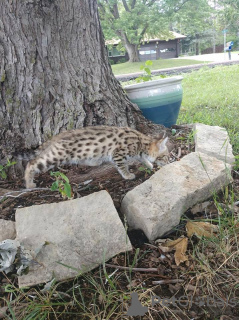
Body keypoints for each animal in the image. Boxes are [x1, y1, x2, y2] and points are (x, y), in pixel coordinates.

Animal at [23, 125, 168, 188]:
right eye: (166, 156)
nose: (170, 160)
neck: (140, 142)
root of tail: (59, 135)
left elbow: (142, 159)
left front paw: (149, 164)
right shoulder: (117, 154)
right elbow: (122, 166)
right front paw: (128, 175)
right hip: (57, 156)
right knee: (31, 163)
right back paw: (29, 184)